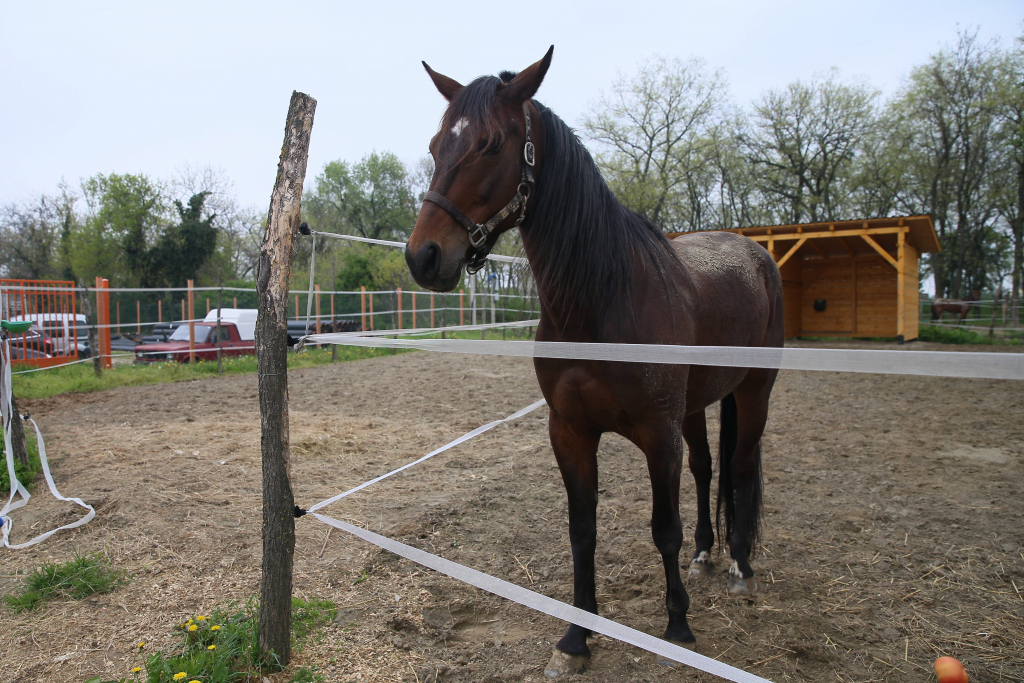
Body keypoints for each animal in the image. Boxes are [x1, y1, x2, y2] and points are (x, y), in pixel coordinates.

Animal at [403, 49, 778, 679]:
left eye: (491, 144)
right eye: (434, 145)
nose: (423, 256)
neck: (601, 299)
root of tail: (754, 252)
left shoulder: (656, 433)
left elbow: (664, 529)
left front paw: (678, 626)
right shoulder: (571, 431)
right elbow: (583, 533)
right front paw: (577, 638)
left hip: (753, 393)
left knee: (743, 466)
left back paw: (740, 569)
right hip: (695, 409)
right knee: (707, 470)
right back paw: (707, 554)